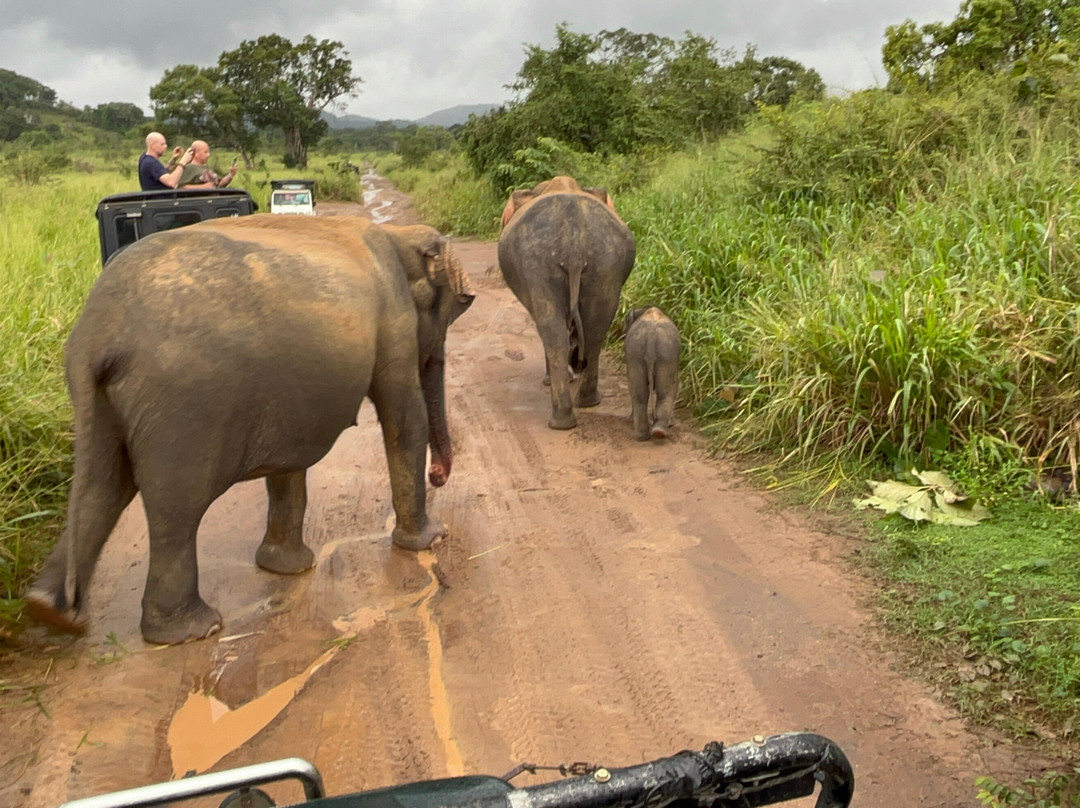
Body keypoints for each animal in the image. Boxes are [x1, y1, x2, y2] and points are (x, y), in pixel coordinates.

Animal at [24, 214, 475, 645]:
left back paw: (49, 610)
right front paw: (432, 540)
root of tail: (94, 335)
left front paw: (286, 568)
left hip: (104, 401)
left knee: (102, 488)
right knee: (176, 509)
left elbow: (291, 462)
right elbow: (405, 419)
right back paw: (196, 631)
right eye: (458, 305)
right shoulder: (394, 321)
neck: (396, 234)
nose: (438, 477)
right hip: (184, 405)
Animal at [497, 176, 636, 429]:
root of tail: (573, 246)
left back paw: (560, 419)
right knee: (594, 331)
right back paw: (587, 402)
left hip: (538, 264)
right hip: (606, 263)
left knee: (554, 334)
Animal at [624, 306, 681, 441]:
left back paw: (645, 435)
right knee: (665, 393)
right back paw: (658, 432)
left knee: (640, 394)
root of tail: (651, 337)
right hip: (665, 354)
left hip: (641, 353)